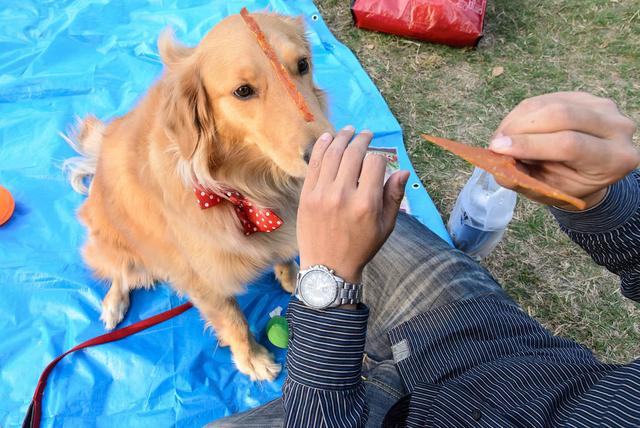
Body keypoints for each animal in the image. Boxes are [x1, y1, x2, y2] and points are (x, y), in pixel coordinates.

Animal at [64, 12, 332, 382]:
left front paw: (296, 279)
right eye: (243, 91)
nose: (326, 150)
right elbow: (234, 323)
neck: (251, 187)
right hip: (120, 248)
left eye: (303, 64)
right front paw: (252, 360)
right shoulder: (204, 281)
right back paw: (114, 304)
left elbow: (284, 253)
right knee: (119, 272)